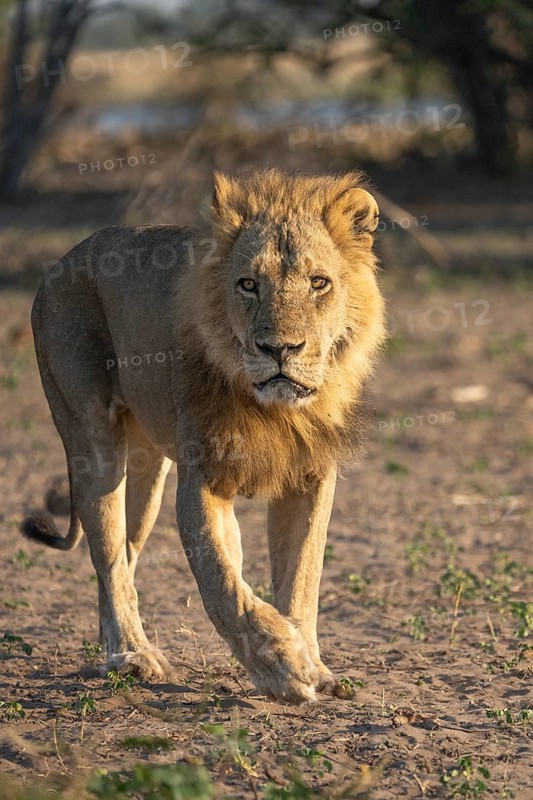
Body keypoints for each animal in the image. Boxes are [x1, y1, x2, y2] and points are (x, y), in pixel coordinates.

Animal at [22, 169, 385, 704]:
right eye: (248, 284)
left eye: (319, 283)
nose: (280, 349)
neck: (274, 410)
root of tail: (61, 261)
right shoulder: (202, 480)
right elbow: (222, 583)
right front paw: (284, 667)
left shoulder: (310, 477)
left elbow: (301, 577)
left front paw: (312, 664)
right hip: (91, 441)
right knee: (107, 556)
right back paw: (133, 656)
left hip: (147, 471)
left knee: (125, 557)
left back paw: (119, 649)